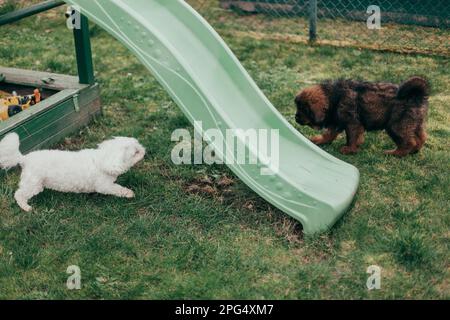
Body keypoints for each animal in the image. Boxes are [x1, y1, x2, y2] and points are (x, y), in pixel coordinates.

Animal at [0, 133, 144, 212]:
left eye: (139, 145)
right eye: (136, 153)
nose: (144, 150)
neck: (103, 159)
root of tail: (24, 159)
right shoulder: (105, 186)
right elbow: (118, 189)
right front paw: (129, 193)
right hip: (33, 184)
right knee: (19, 194)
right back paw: (25, 207)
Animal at [296, 78, 428, 158]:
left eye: (304, 110)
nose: (296, 118)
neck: (335, 97)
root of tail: (416, 95)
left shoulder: (352, 123)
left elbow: (352, 137)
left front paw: (349, 149)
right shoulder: (337, 121)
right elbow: (329, 134)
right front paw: (319, 140)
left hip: (396, 125)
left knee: (408, 142)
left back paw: (395, 153)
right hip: (414, 123)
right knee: (421, 137)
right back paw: (415, 150)